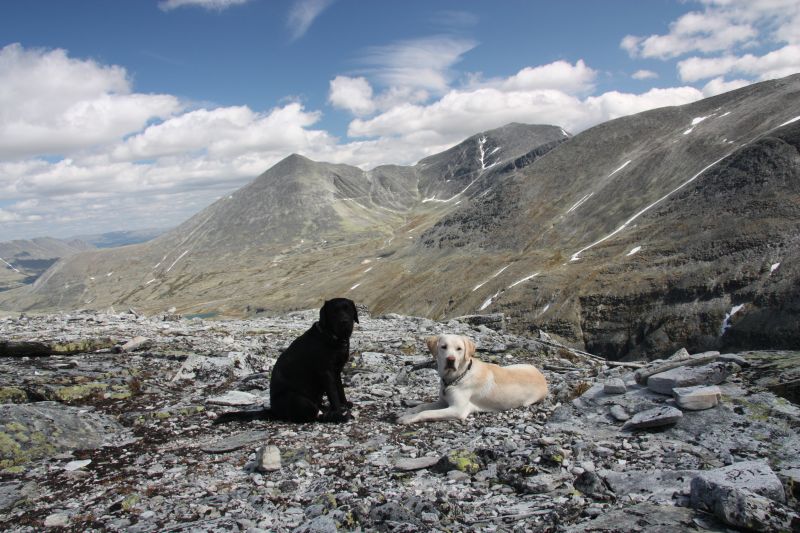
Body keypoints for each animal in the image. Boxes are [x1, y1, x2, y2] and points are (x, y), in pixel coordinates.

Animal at [216, 300, 360, 424]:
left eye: (348, 309)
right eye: (333, 312)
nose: (344, 322)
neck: (331, 337)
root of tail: (273, 411)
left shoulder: (337, 371)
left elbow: (340, 389)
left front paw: (345, 404)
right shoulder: (326, 373)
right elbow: (334, 394)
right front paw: (340, 410)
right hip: (296, 398)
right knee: (312, 415)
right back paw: (337, 417)